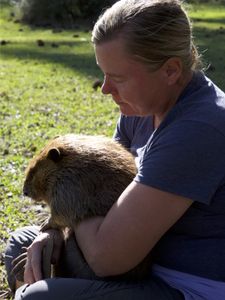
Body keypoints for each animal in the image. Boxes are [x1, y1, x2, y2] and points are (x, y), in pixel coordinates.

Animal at [12, 135, 153, 282]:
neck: (65, 167)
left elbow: (62, 213)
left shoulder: (68, 186)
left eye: (33, 171)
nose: (25, 191)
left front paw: (44, 224)